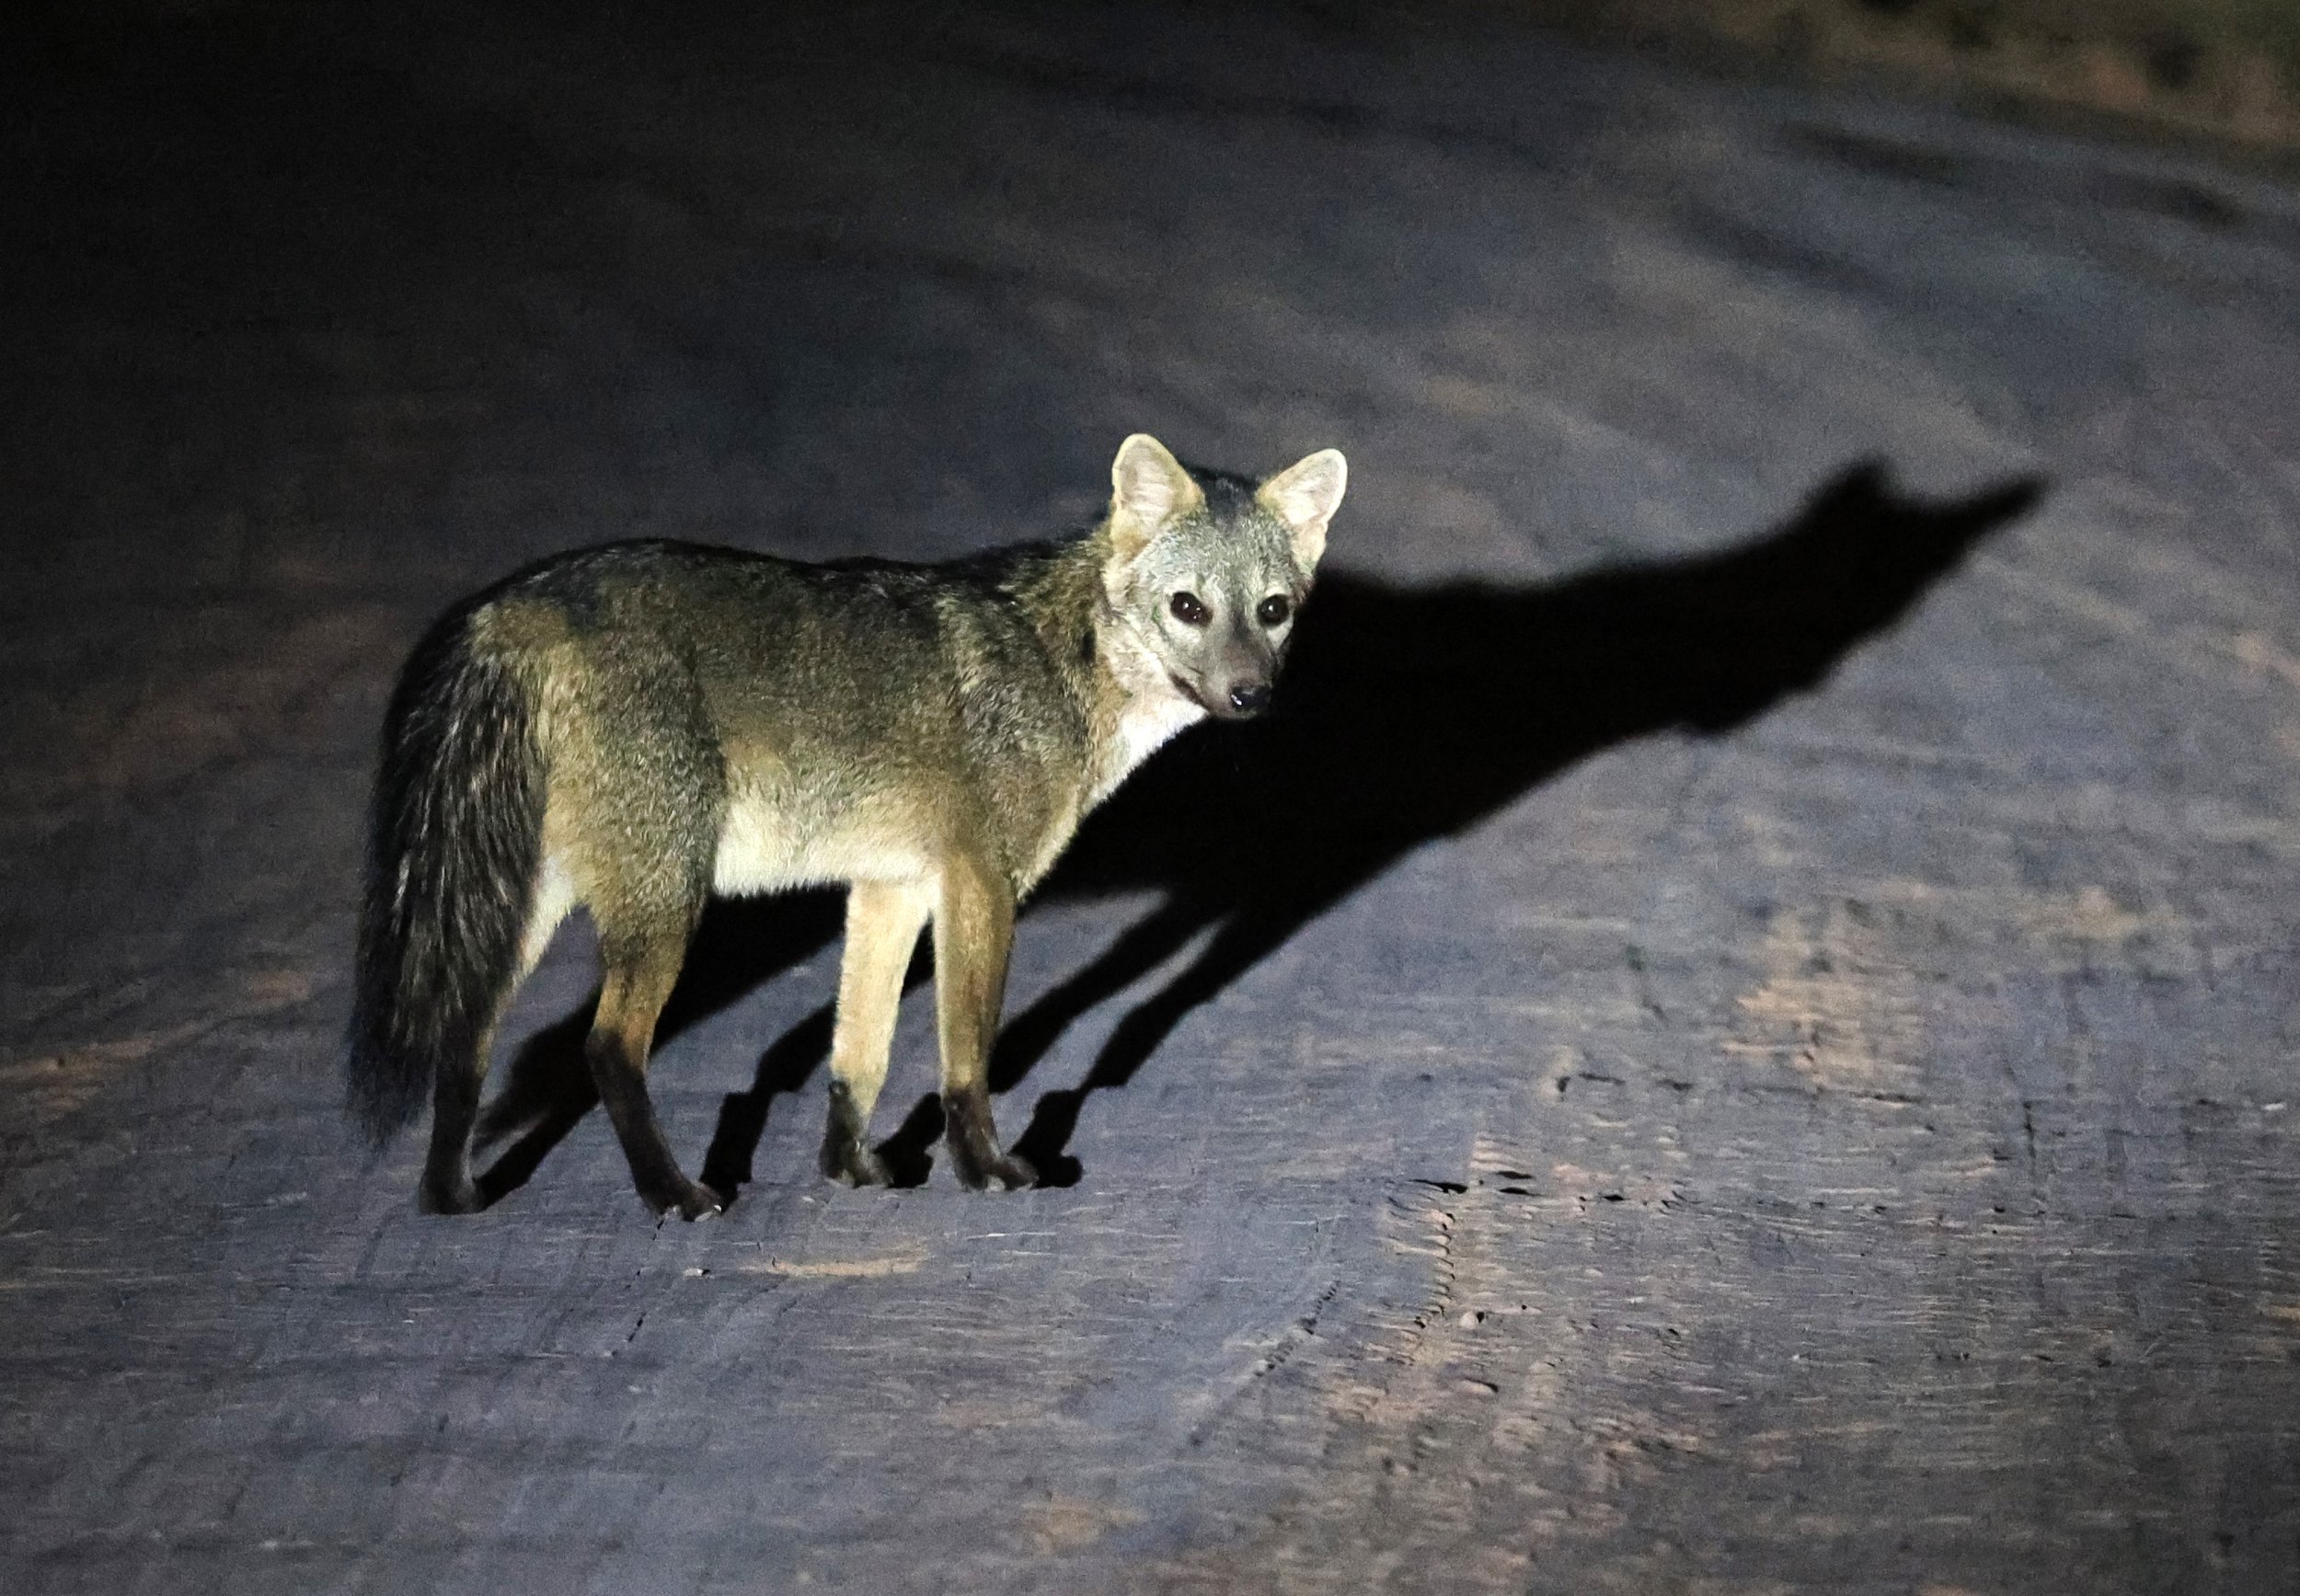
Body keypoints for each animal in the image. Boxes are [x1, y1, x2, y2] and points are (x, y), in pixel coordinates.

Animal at [347, 434, 1347, 1218]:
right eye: (1188, 608)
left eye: (1271, 611)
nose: (1250, 696)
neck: (1062, 660)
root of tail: (512, 606)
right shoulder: (981, 884)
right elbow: (966, 1054)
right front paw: (986, 1170)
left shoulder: (891, 886)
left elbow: (856, 1054)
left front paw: (850, 1169)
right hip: (664, 908)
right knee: (603, 1047)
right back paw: (674, 1194)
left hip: (531, 910)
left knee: (466, 1041)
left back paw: (451, 1195)